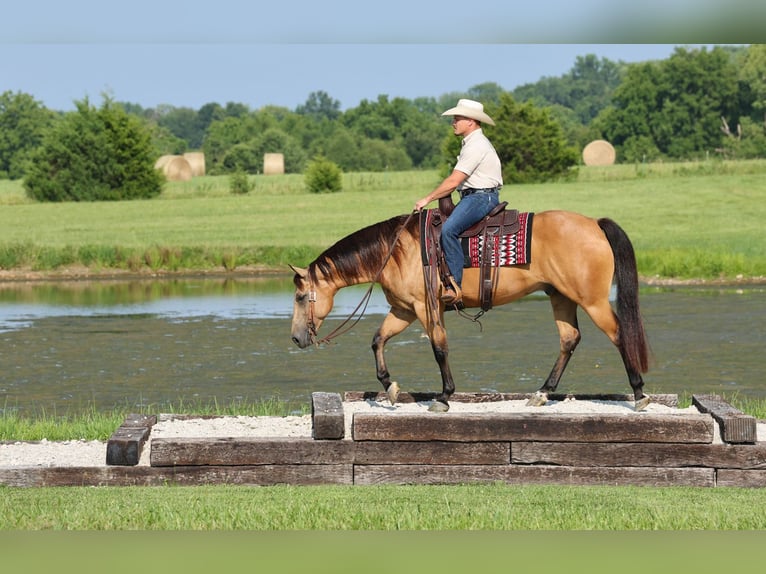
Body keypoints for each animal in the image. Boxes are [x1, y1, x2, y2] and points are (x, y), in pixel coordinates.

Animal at [290, 209, 650, 413]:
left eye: (299, 296)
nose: (295, 338)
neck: (395, 252)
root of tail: (594, 224)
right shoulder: (404, 310)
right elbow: (378, 340)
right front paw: (390, 387)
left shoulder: (425, 308)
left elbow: (439, 348)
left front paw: (444, 396)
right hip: (560, 297)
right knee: (569, 339)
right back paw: (542, 393)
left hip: (592, 300)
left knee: (620, 334)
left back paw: (639, 393)